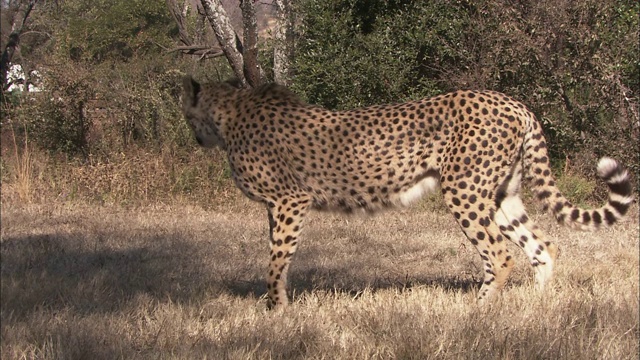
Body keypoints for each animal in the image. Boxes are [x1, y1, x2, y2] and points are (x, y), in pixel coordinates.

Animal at [181, 76, 636, 310]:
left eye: (187, 114)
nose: (194, 137)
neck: (231, 114)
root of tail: (512, 101)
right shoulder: (277, 206)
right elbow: (277, 255)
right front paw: (275, 306)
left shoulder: (291, 200)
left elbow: (277, 260)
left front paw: (276, 310)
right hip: (501, 193)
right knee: (542, 246)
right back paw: (535, 305)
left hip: (464, 190)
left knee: (501, 252)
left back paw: (478, 310)